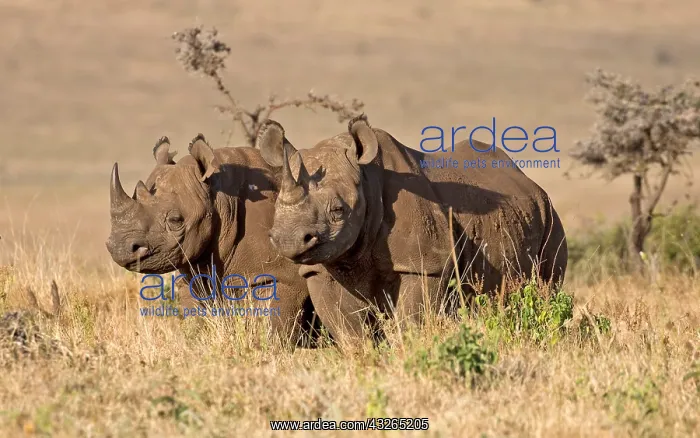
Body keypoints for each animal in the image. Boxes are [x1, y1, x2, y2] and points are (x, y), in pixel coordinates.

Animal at [105, 134, 320, 346]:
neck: (221, 199)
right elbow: (196, 321)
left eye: (175, 220)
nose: (119, 248)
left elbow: (274, 323)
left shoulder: (284, 275)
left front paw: (269, 348)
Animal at [254, 114, 568, 341]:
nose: (289, 240)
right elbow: (348, 329)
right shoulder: (321, 266)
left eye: (338, 211)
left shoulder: (425, 263)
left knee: (546, 287)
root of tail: (529, 183)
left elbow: (413, 318)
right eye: (277, 206)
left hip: (551, 216)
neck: (366, 181)